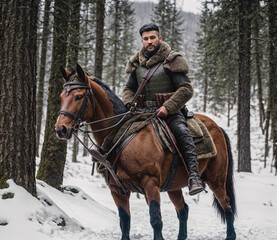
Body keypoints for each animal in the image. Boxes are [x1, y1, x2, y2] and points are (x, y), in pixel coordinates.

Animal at [55, 64, 236, 240]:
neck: (121, 135)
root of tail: (218, 127)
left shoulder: (151, 184)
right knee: (183, 210)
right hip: (174, 186)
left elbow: (156, 221)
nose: (60, 129)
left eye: (78, 96)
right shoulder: (117, 191)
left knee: (227, 206)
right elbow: (125, 223)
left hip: (216, 180)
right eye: (61, 96)